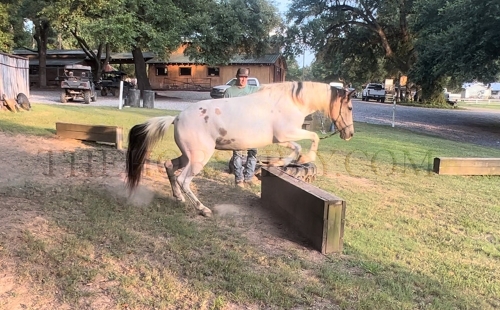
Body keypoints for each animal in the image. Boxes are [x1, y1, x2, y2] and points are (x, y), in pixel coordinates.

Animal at [127, 81, 358, 217]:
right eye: (349, 107)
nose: (350, 134)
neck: (291, 102)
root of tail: (177, 117)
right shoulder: (286, 134)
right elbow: (310, 140)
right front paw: (300, 159)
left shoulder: (282, 139)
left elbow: (296, 148)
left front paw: (277, 163)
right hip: (198, 159)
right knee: (184, 180)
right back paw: (203, 209)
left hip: (187, 156)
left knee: (169, 166)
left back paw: (179, 198)